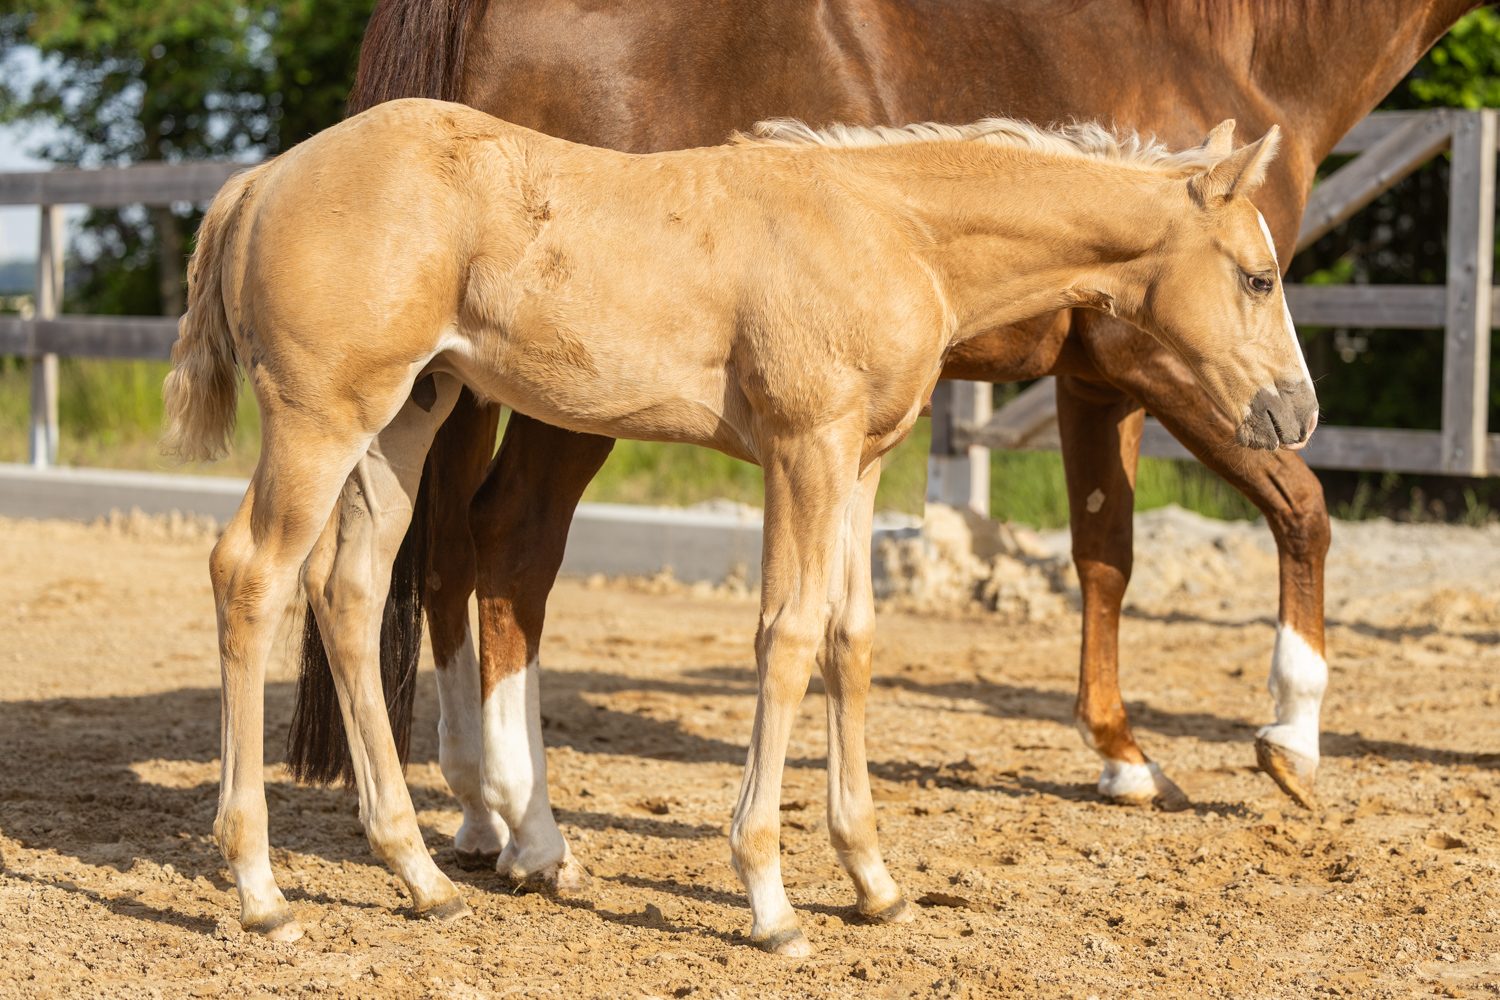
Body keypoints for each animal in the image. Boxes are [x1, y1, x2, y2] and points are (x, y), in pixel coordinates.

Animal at [164, 99, 1312, 947]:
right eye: (1258, 276)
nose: (1297, 413)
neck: (892, 225)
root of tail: (260, 180)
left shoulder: (861, 463)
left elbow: (851, 641)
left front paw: (873, 878)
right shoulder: (806, 450)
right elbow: (787, 638)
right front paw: (769, 897)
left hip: (408, 413)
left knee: (349, 592)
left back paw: (417, 872)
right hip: (322, 419)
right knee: (248, 574)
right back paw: (261, 890)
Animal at [281, 0, 1483, 889]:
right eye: (1260, 278)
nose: (1302, 407)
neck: (1225, 44)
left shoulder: (1095, 381)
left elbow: (1104, 552)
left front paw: (1122, 753)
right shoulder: (1157, 367)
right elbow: (1299, 510)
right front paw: (1288, 740)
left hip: (461, 381)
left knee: (443, 554)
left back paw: (480, 815)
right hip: (562, 400)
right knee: (510, 549)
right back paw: (531, 834)